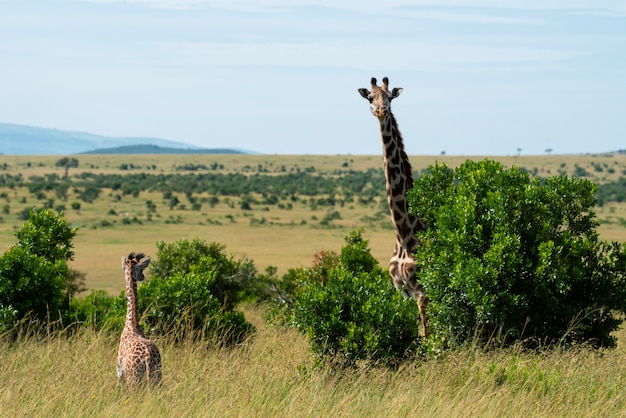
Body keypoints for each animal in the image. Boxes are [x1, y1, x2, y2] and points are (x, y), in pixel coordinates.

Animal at [356, 76, 428, 336]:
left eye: (390, 98)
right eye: (370, 97)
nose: (380, 110)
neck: (403, 234)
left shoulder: (422, 293)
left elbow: (429, 337)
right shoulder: (402, 292)